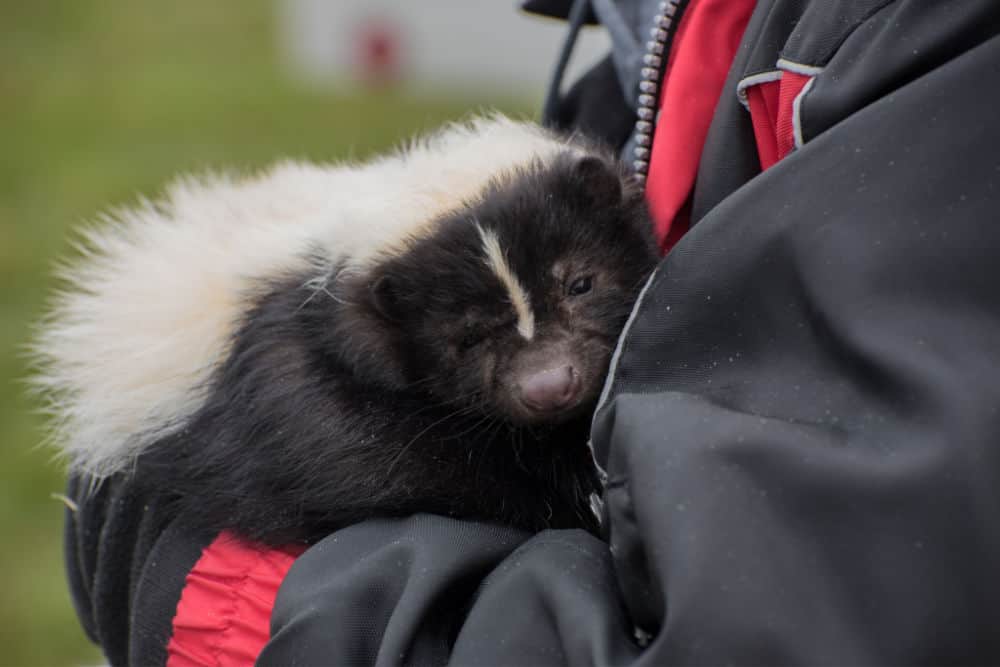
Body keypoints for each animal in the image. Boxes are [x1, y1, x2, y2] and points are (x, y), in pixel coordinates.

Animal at [33, 115, 656, 544]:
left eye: (580, 283)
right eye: (467, 337)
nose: (548, 384)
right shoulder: (285, 382)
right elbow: (371, 462)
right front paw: (572, 496)